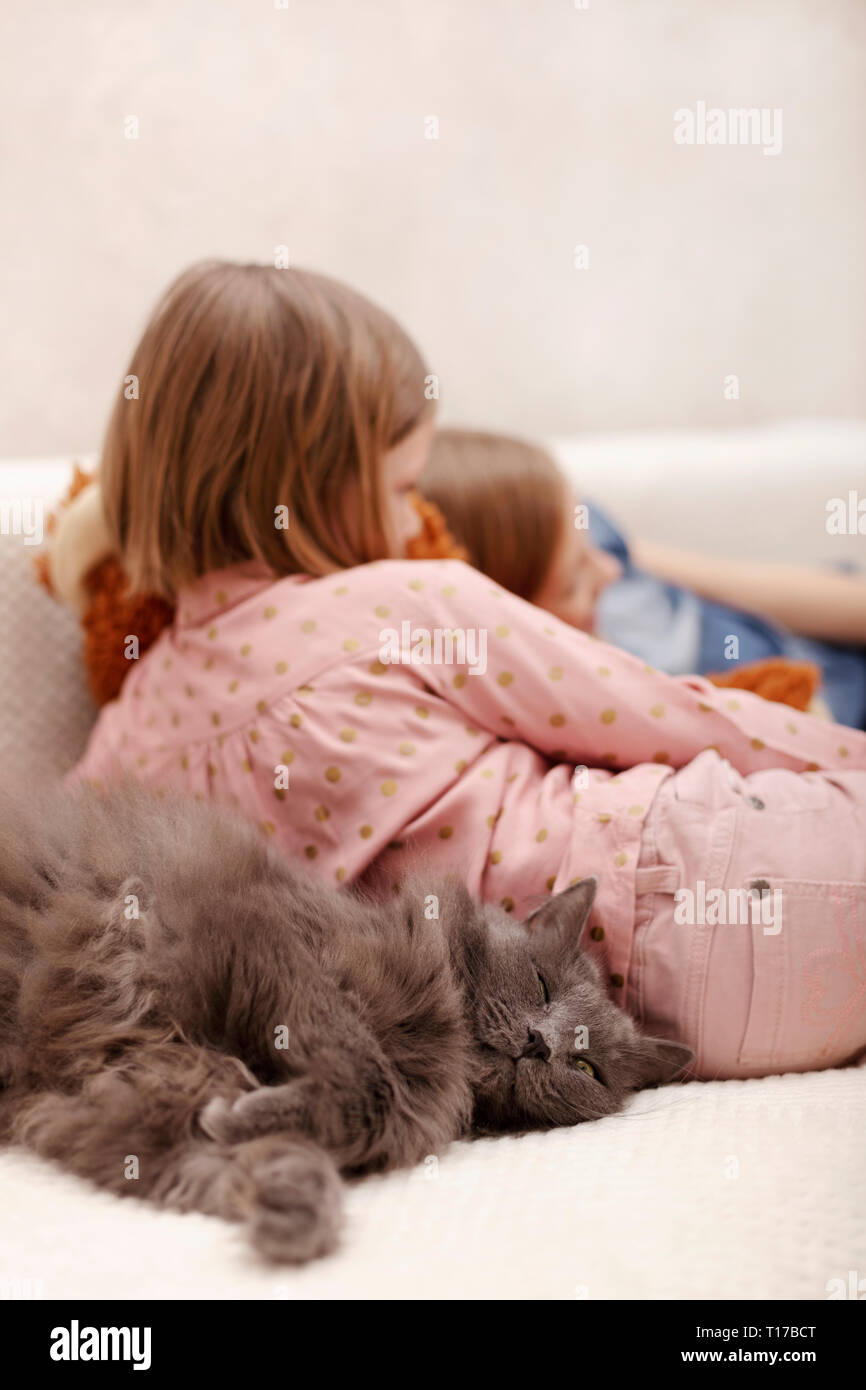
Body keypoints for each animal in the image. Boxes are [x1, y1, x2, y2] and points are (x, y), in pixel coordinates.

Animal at [0, 783, 692, 1262]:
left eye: (586, 1068)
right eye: (542, 985)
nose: (539, 1044)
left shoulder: (133, 1094)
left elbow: (223, 1154)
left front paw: (286, 1204)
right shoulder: (269, 939)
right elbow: (367, 1078)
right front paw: (257, 1133)